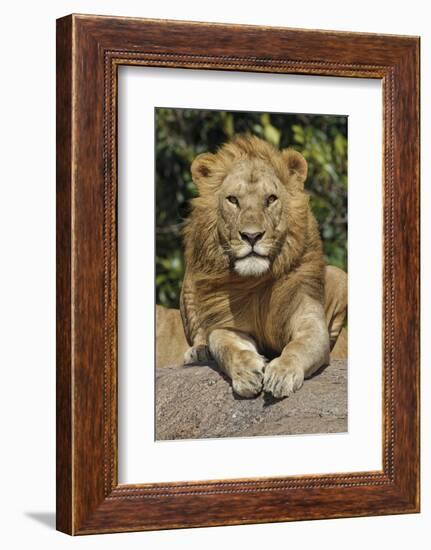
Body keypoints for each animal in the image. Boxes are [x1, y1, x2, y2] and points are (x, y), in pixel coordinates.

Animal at [179, 135, 348, 398]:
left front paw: (282, 374)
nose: (251, 236)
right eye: (233, 200)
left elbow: (297, 347)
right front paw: (246, 373)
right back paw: (199, 352)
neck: (255, 282)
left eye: (270, 199)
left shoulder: (309, 321)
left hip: (339, 275)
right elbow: (228, 347)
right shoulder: (227, 326)